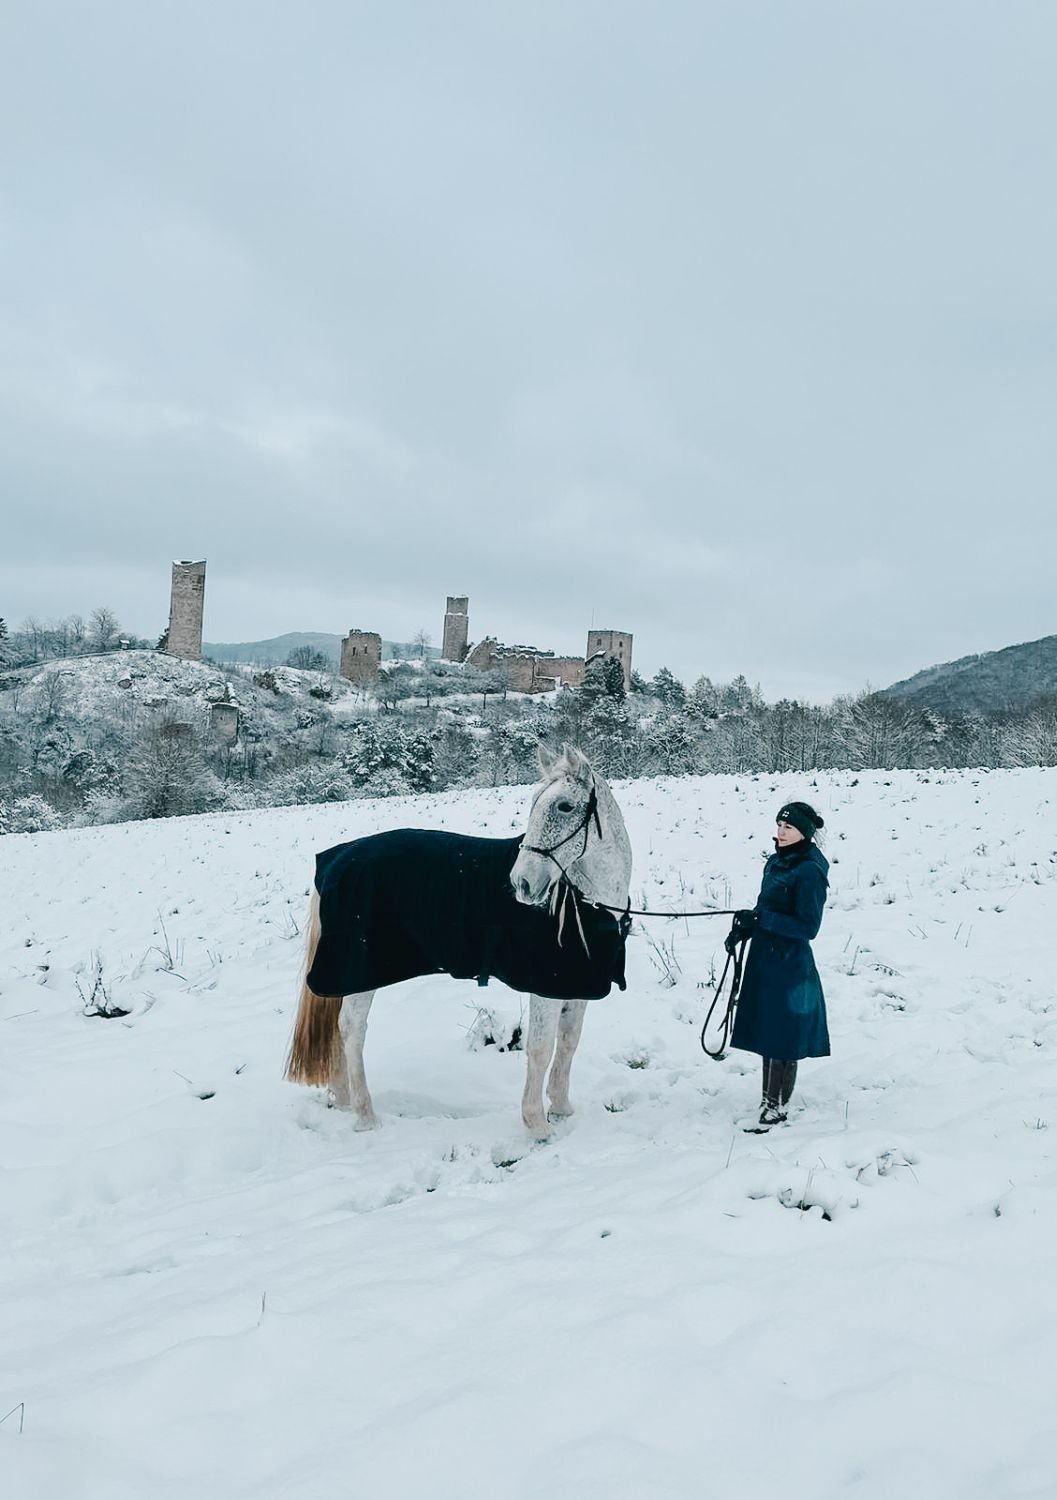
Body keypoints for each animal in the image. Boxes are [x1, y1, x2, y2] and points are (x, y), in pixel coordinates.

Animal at [284, 744, 629, 1140]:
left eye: (565, 806)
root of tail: (335, 859)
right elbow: (541, 1048)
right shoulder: (546, 986)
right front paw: (537, 1125)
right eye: (535, 804)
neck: (585, 902)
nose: (522, 883)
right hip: (361, 972)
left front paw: (561, 1108)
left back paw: (342, 1098)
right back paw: (365, 1115)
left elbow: (569, 1042)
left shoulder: (577, 983)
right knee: (352, 1029)